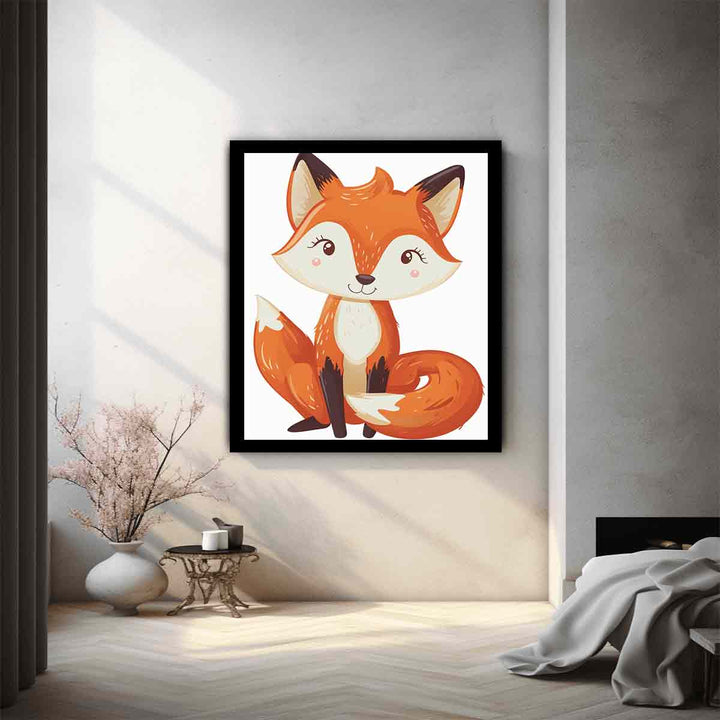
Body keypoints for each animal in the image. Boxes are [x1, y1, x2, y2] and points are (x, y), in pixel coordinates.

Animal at [253, 153, 484, 440]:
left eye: (407, 257)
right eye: (327, 247)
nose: (364, 279)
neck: (358, 318)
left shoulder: (381, 360)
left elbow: (373, 396)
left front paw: (368, 435)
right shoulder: (328, 358)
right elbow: (334, 409)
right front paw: (341, 436)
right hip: (302, 375)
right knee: (323, 413)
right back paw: (310, 423)